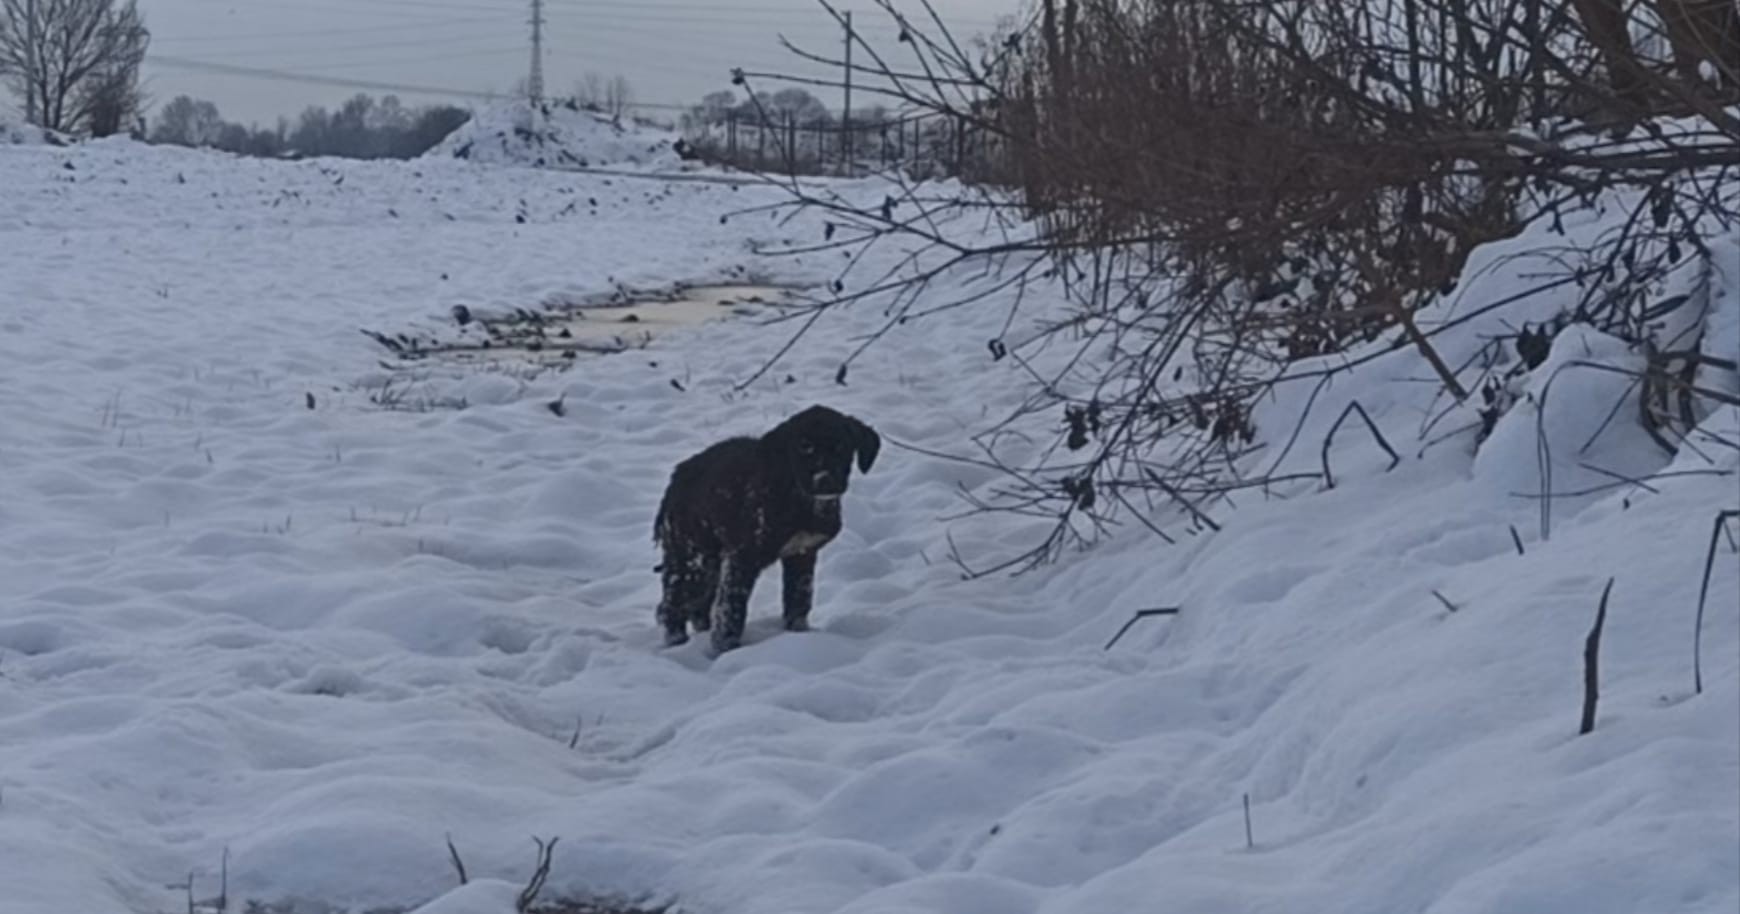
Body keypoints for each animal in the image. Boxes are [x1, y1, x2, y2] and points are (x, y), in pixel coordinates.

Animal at [650, 402, 876, 651]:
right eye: (804, 447)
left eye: (841, 446)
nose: (825, 481)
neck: (798, 498)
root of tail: (676, 478)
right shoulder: (742, 557)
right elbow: (731, 610)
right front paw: (726, 649)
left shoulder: (803, 552)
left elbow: (799, 601)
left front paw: (799, 636)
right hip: (692, 558)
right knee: (670, 606)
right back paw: (676, 642)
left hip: (712, 561)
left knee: (697, 606)